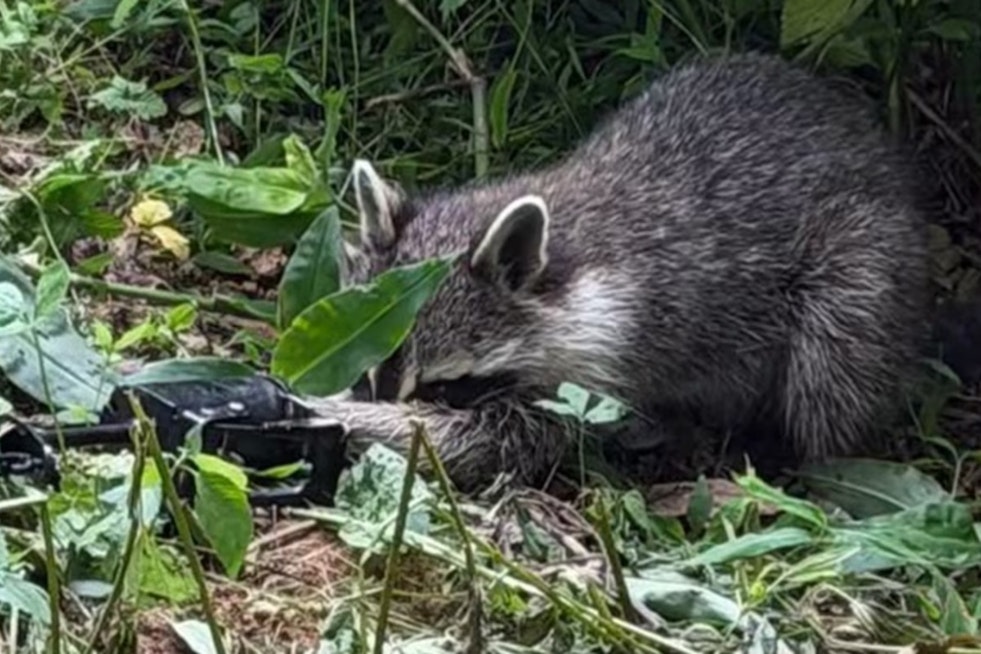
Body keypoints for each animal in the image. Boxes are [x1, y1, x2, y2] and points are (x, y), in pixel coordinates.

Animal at [311, 52, 939, 492]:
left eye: (445, 386)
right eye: (362, 367)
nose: (372, 400)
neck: (561, 269)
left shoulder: (589, 371)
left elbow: (485, 442)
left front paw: (350, 418)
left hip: (861, 261)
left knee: (832, 368)